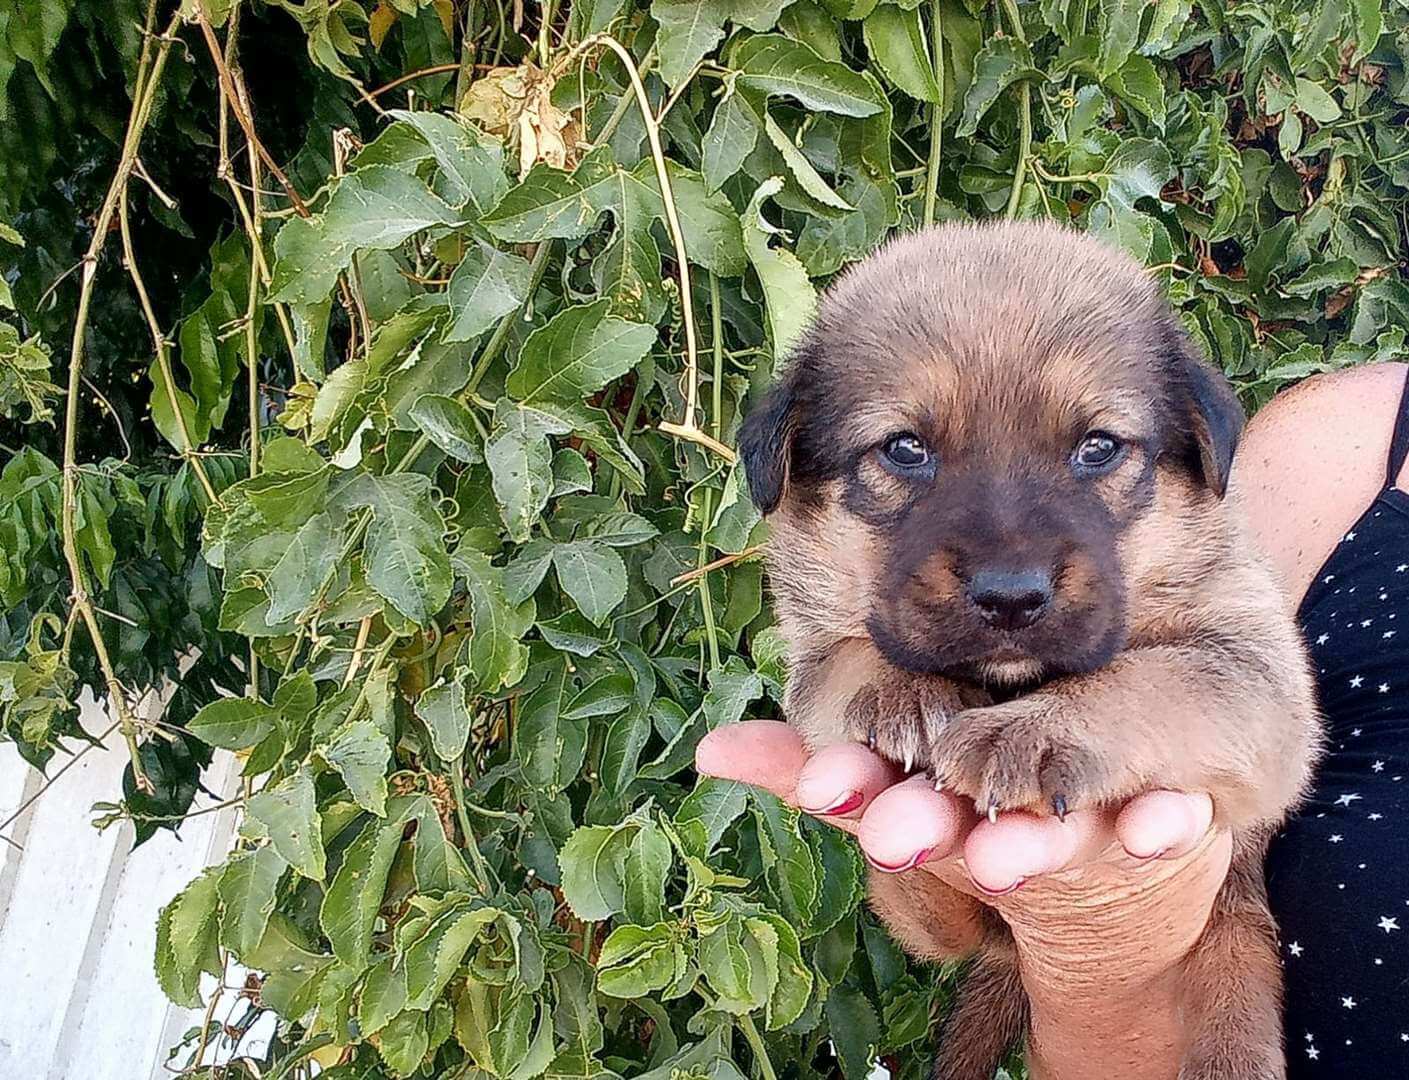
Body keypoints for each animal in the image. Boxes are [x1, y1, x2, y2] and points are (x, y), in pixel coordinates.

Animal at [743, 216, 1324, 1080]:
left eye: (1097, 447)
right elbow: (846, 656)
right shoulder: (814, 653)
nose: (1010, 596)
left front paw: (1030, 733)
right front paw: (903, 691)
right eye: (904, 449)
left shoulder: (1256, 672)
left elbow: (1153, 679)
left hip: (1233, 924)